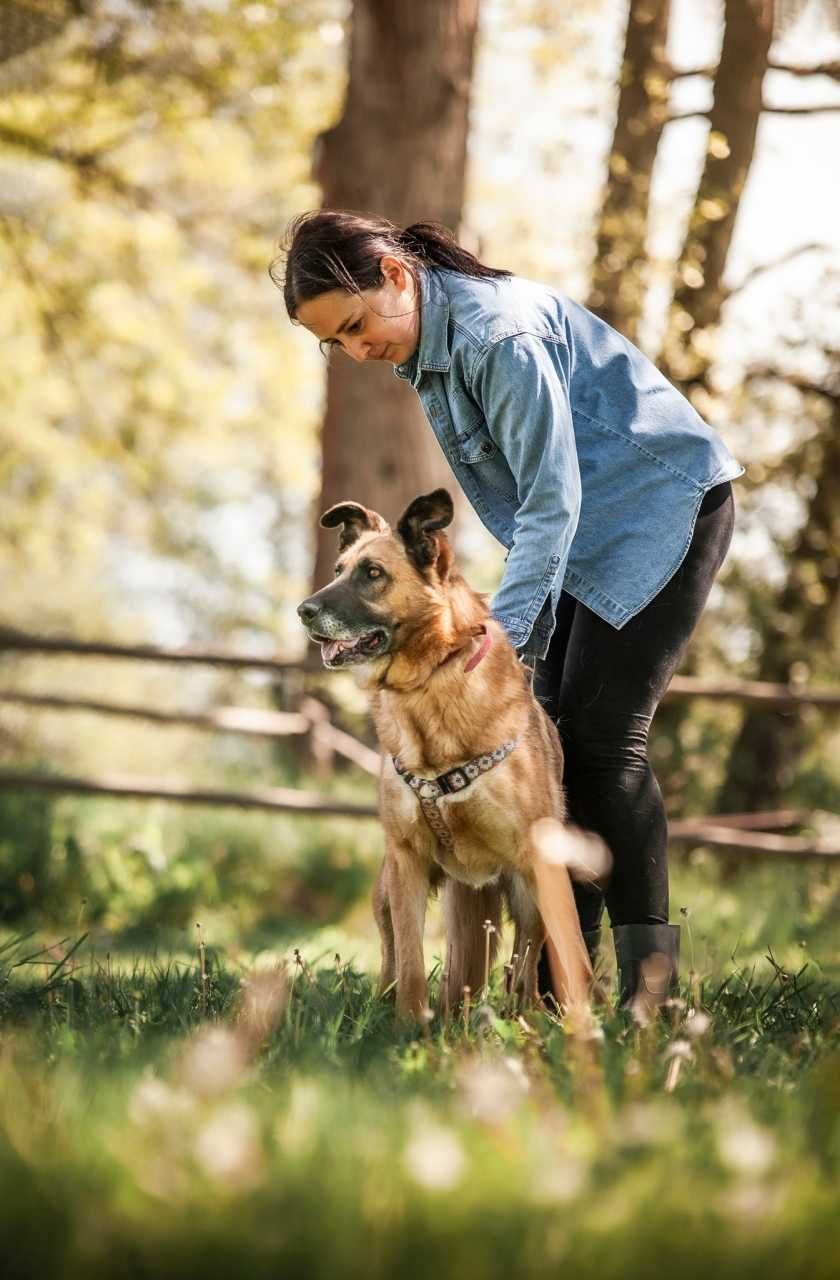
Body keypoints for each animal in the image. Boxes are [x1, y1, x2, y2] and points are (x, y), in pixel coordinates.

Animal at [298, 488, 594, 1018]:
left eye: (372, 573)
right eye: (338, 569)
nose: (303, 611)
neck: (427, 686)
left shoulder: (539, 866)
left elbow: (566, 953)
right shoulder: (407, 859)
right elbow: (412, 960)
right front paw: (409, 1026)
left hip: (526, 895)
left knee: (527, 958)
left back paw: (524, 1016)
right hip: (386, 888)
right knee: (393, 953)